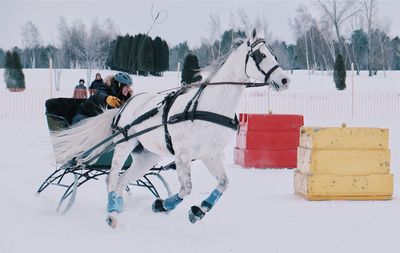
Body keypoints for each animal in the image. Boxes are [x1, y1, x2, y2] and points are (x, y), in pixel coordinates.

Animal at [52, 28, 290, 228]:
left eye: (274, 55)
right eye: (260, 55)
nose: (285, 80)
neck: (209, 105)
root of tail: (125, 105)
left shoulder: (211, 155)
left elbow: (224, 183)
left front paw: (198, 211)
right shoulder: (183, 155)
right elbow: (186, 188)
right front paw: (162, 205)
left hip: (147, 156)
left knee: (121, 180)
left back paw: (117, 208)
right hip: (124, 145)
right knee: (111, 178)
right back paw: (111, 213)